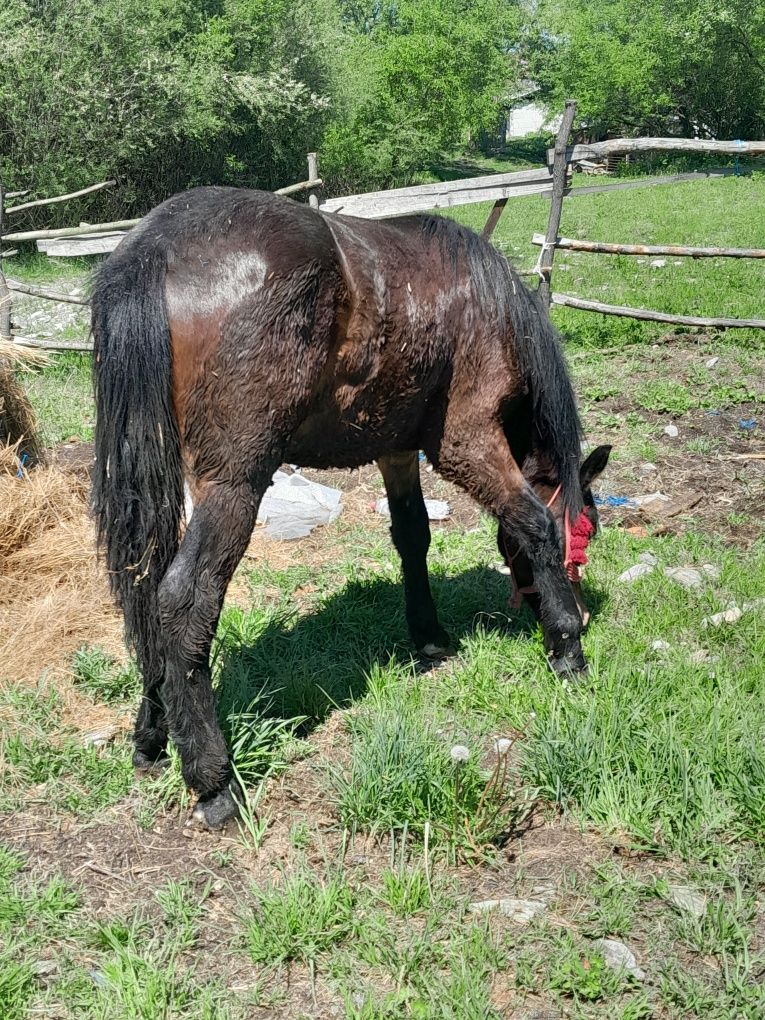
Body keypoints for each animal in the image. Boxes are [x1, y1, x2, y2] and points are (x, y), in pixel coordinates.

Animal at [92, 187, 616, 828]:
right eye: (582, 533)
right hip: (236, 483)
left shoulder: (396, 448)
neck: (486, 303)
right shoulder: (465, 441)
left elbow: (413, 537)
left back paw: (153, 736)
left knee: (145, 590)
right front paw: (567, 646)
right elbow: (533, 522)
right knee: (182, 600)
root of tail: (157, 244)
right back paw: (214, 782)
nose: (585, 615)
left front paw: (429, 634)